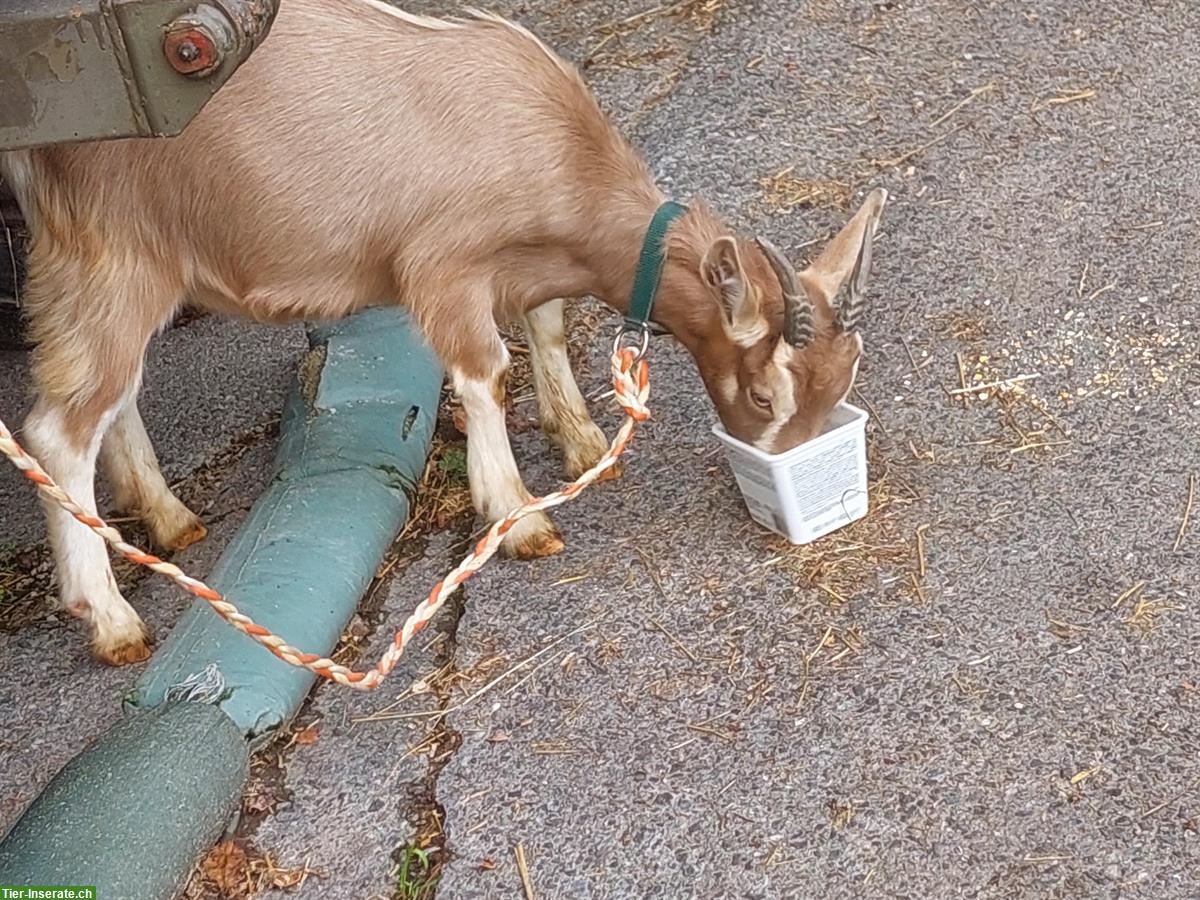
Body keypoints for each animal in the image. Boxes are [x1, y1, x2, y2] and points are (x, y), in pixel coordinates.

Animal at [0, 0, 883, 662]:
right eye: (765, 393)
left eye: (844, 378)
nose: (791, 468)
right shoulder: (444, 269)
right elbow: (486, 373)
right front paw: (521, 517)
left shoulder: (519, 271)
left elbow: (548, 328)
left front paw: (581, 440)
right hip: (112, 256)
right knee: (58, 428)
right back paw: (111, 618)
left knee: (112, 397)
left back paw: (169, 516)